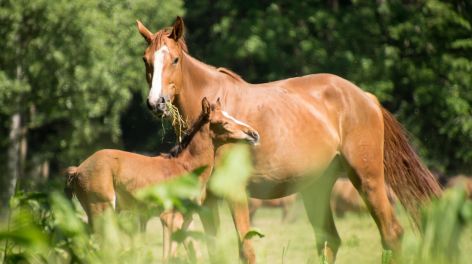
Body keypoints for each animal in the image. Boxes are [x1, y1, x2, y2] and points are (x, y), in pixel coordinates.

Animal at [136, 17, 442, 262]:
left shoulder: (236, 193)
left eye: (175, 59)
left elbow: (245, 249)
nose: (156, 103)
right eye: (146, 61)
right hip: (317, 188)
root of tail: (365, 97)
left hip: (368, 180)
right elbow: (213, 249)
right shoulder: (208, 202)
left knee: (391, 233)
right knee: (329, 240)